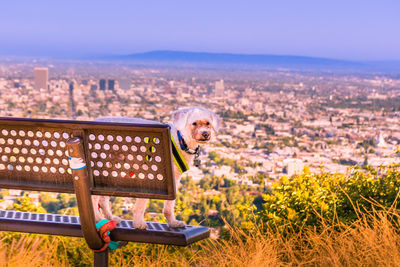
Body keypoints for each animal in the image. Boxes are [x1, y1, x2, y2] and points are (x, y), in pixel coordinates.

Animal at [92, 108, 220, 229]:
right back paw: (98, 219)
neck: (181, 140)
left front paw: (172, 222)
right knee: (93, 197)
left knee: (102, 198)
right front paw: (138, 223)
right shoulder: (149, 174)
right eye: (194, 123)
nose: (205, 134)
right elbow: (141, 204)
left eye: (208, 123)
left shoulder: (174, 179)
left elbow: (169, 205)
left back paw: (110, 218)